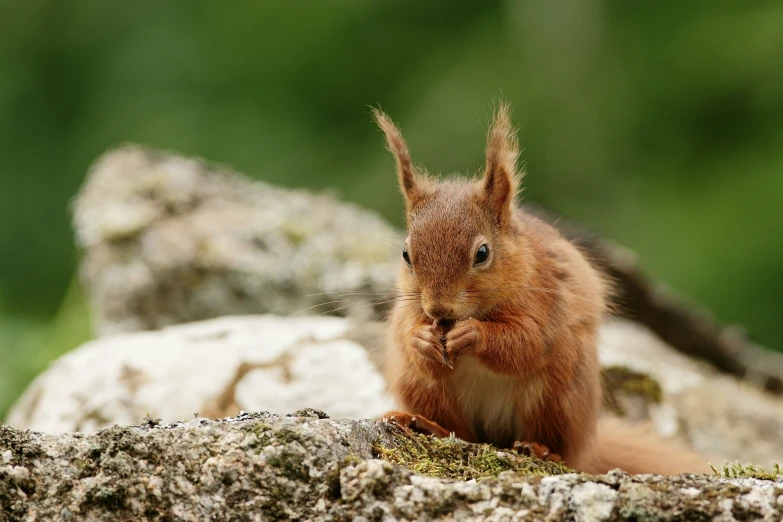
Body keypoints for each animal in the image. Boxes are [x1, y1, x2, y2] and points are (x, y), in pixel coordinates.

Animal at [374, 103, 712, 474]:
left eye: (482, 253)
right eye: (406, 255)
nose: (438, 309)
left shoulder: (544, 301)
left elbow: (526, 344)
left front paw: (473, 334)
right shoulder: (409, 312)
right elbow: (416, 345)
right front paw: (421, 340)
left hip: (557, 392)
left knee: (558, 445)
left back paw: (541, 450)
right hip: (422, 388)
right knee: (460, 432)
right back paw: (424, 423)